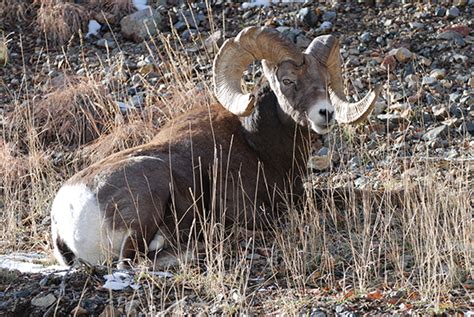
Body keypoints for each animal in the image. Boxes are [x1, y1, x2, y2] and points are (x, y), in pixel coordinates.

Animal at [51, 25, 378, 266]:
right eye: (287, 81)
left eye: (325, 81)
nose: (326, 113)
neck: (256, 143)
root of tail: (65, 213)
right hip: (152, 186)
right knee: (131, 261)